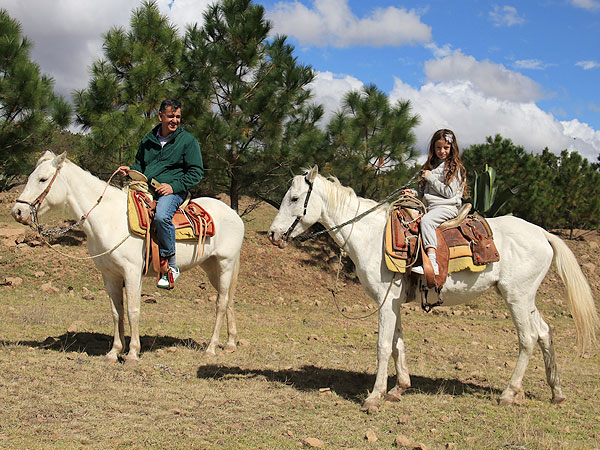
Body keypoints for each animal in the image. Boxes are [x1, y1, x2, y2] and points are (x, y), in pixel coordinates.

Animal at [11, 153, 244, 364]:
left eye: (42, 179)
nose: (18, 211)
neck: (110, 218)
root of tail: (234, 214)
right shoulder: (110, 275)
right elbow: (117, 312)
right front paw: (114, 352)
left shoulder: (132, 272)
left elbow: (132, 310)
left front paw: (132, 353)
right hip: (211, 266)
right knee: (229, 300)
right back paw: (231, 343)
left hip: (225, 263)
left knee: (221, 303)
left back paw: (211, 348)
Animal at [270, 166, 596, 412]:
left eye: (295, 198)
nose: (274, 235)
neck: (371, 235)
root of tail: (542, 233)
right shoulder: (394, 302)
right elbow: (398, 343)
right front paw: (399, 388)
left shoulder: (385, 301)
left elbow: (383, 346)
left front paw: (374, 397)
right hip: (526, 299)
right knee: (544, 332)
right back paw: (556, 392)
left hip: (516, 296)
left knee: (528, 338)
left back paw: (508, 393)